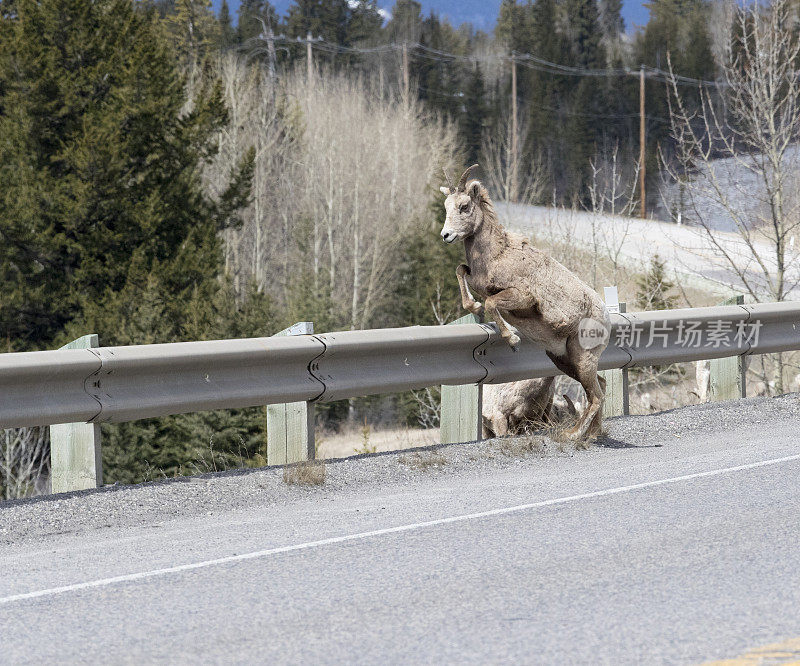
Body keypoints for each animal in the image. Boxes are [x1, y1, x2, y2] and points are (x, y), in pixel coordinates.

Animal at [440, 163, 608, 438]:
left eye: (464, 206)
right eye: (446, 206)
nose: (446, 235)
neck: (498, 254)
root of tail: (607, 317)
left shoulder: (521, 297)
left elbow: (492, 304)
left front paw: (513, 341)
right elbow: (460, 270)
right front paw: (473, 307)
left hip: (583, 359)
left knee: (596, 396)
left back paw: (573, 434)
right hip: (563, 360)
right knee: (600, 386)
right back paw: (591, 434)